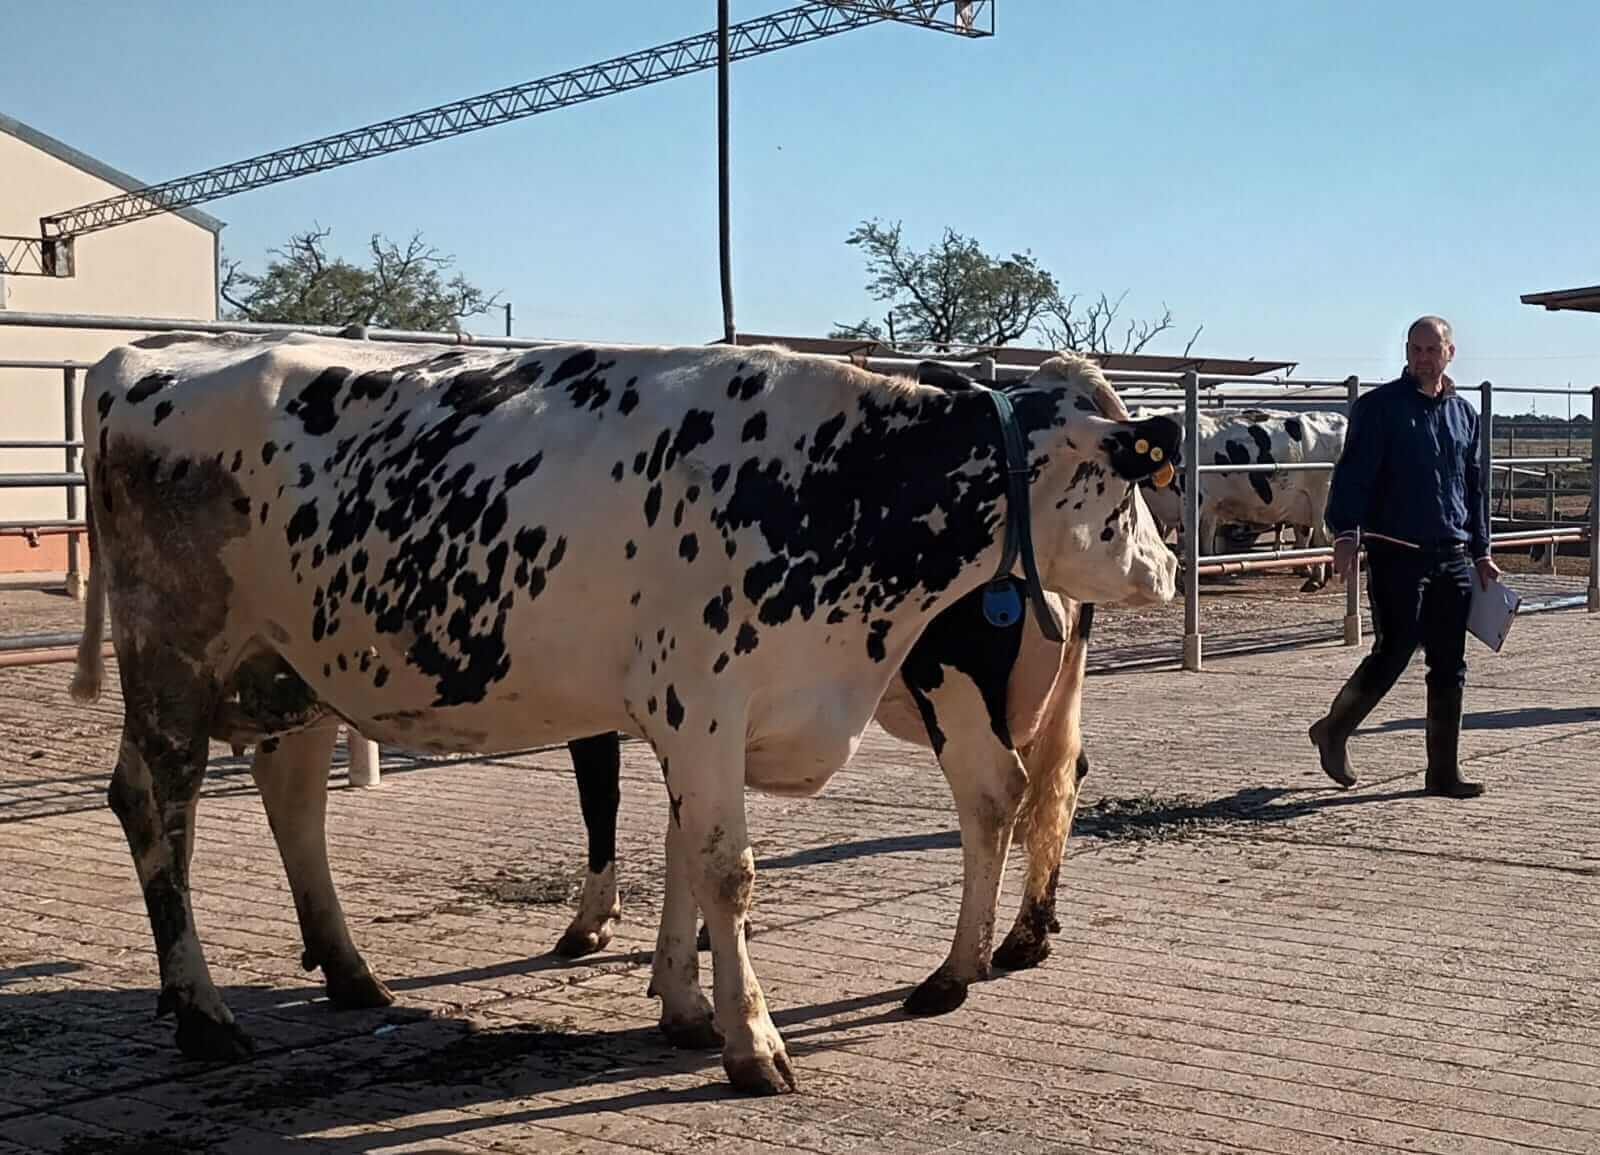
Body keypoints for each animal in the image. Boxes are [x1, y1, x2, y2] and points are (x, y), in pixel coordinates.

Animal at [70, 332, 1178, 1095]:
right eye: (1129, 482)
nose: (1169, 568)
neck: (822, 482)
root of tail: (142, 356)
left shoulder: (702, 715)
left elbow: (686, 850)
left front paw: (686, 1006)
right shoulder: (700, 698)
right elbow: (724, 869)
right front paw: (751, 1041)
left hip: (289, 667)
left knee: (290, 798)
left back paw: (348, 973)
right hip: (172, 655)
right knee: (157, 804)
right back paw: (202, 1010)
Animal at [1136, 407, 1347, 591]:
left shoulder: (1190, 499)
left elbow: (1187, 542)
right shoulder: (1209, 506)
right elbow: (1206, 540)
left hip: (1321, 500)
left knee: (1321, 538)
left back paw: (1315, 580)